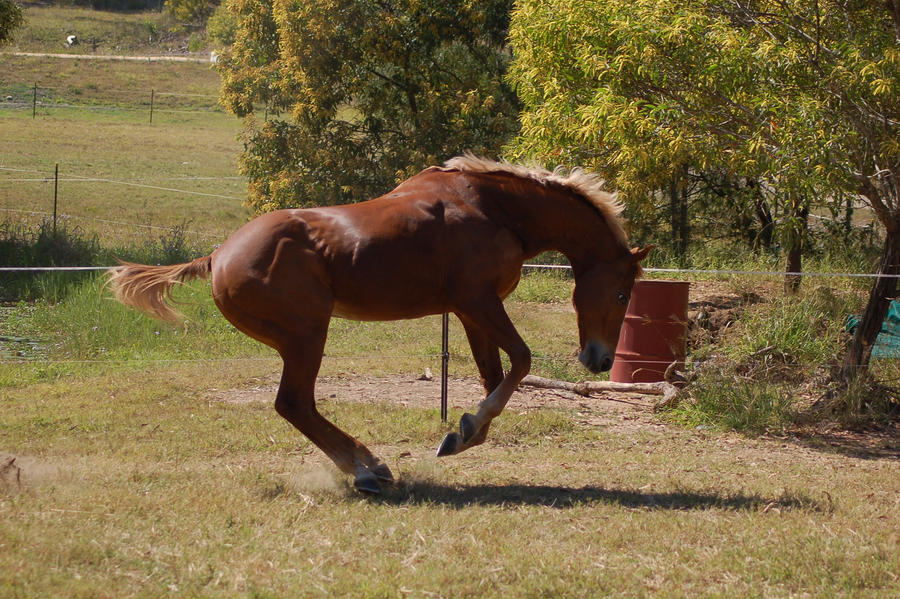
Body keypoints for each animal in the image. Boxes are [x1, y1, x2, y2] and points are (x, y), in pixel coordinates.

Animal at [108, 155, 652, 494]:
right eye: (622, 292)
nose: (601, 359)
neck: (492, 208)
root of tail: (218, 255)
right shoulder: (479, 302)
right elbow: (520, 361)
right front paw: (465, 429)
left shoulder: (470, 310)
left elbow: (496, 376)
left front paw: (464, 432)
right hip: (307, 337)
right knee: (294, 404)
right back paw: (367, 471)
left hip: (301, 340)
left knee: (298, 407)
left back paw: (370, 466)